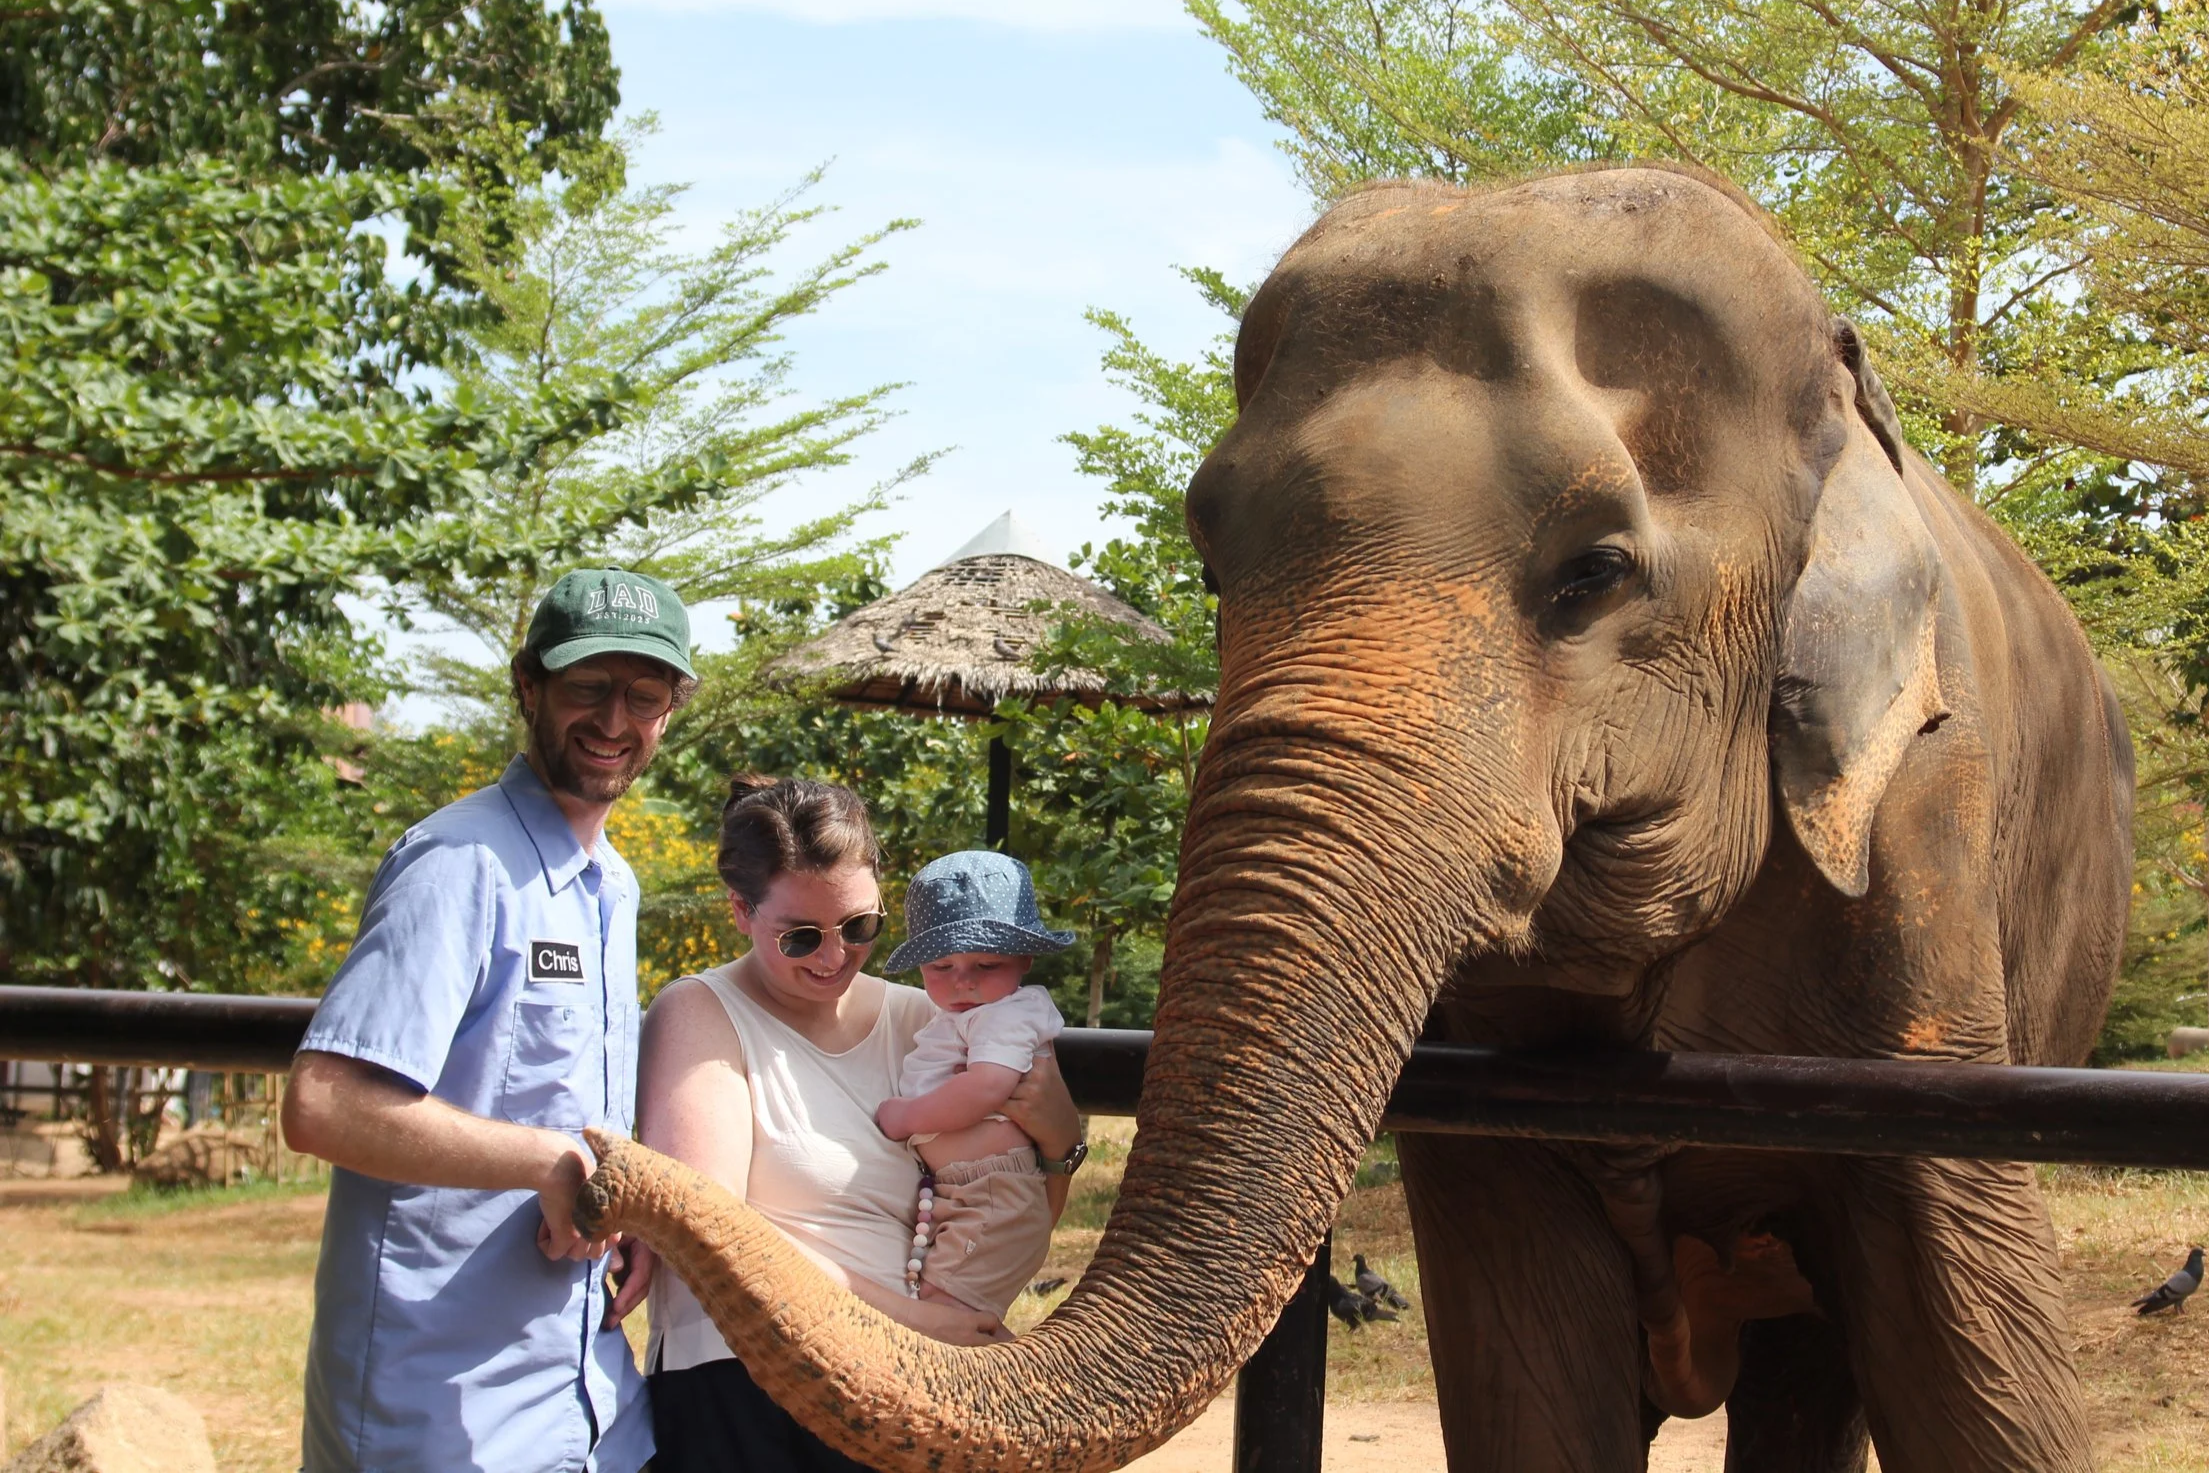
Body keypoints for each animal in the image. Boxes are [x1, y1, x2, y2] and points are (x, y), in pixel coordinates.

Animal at [576, 164, 2133, 1473]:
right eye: (1210, 560)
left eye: (1593, 572)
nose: (592, 1179)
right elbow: (1527, 1382)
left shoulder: (1924, 837)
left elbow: (1973, 1349)